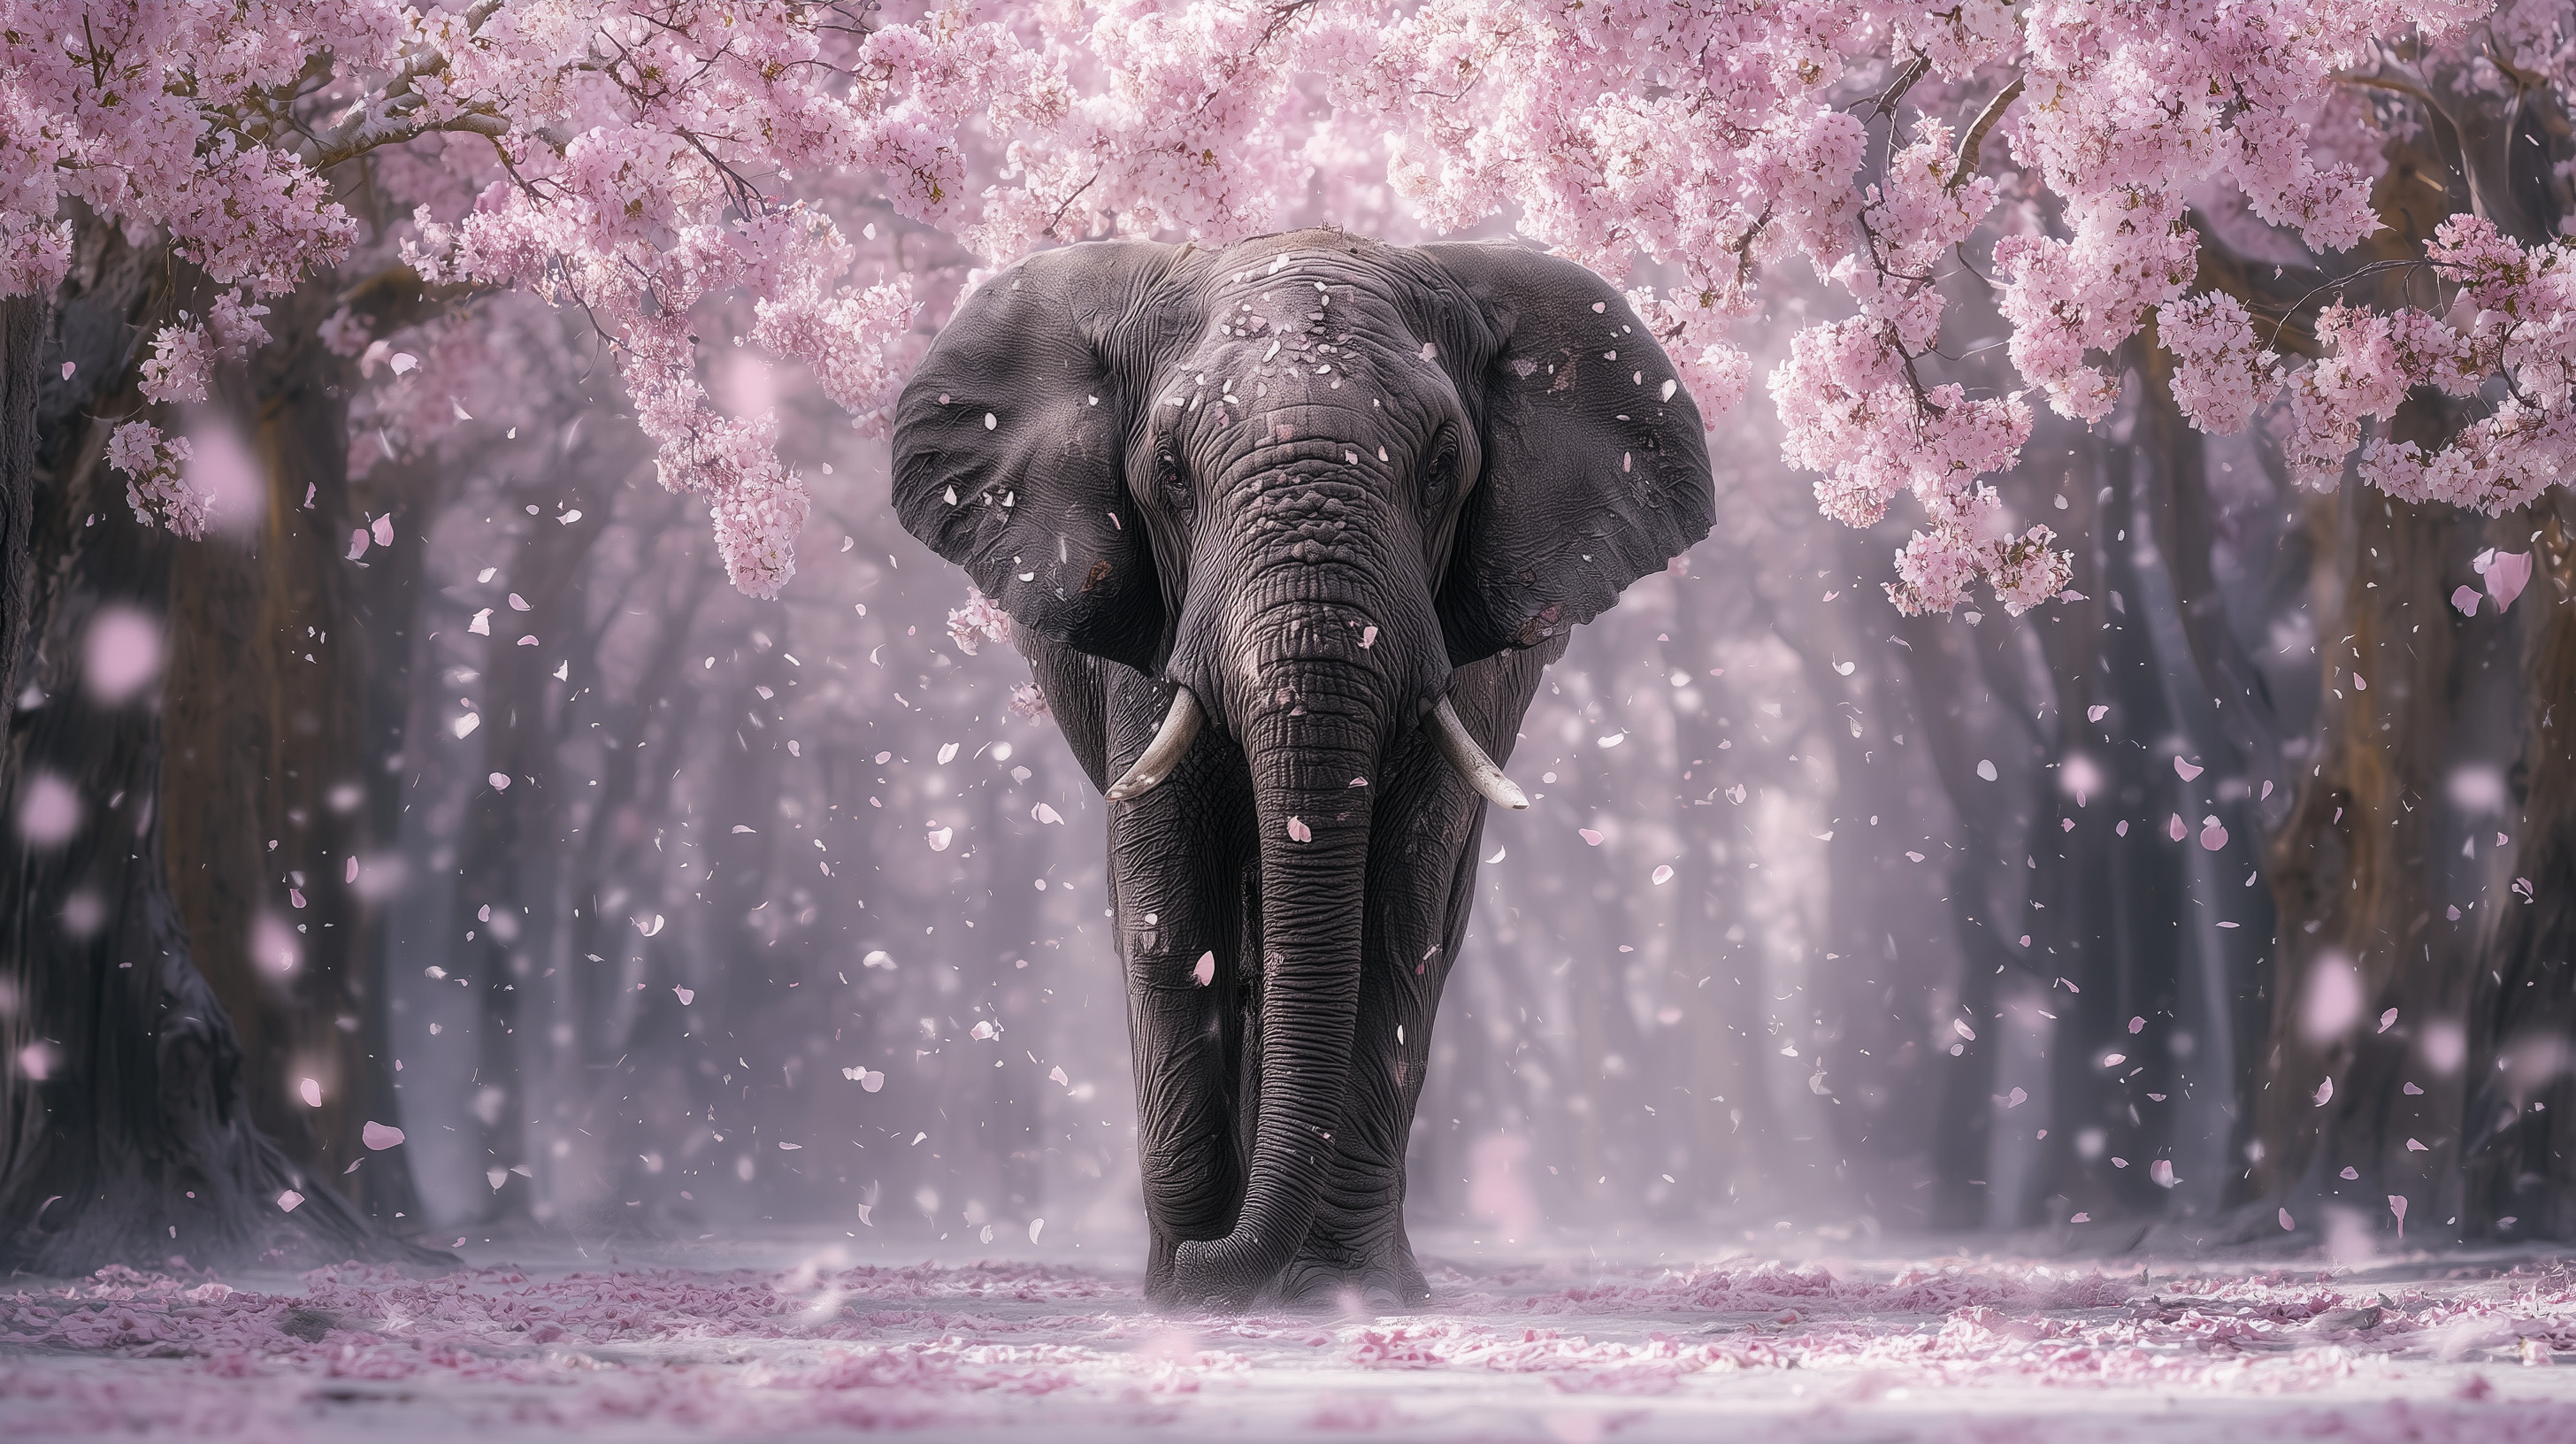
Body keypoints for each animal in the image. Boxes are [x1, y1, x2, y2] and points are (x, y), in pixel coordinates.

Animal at [889, 228, 1713, 1309]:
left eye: (1442, 465)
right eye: (1167, 473)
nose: (1209, 1269)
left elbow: (1395, 912)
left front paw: (1335, 1291)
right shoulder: (1148, 627)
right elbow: (1167, 907)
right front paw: (1187, 1289)